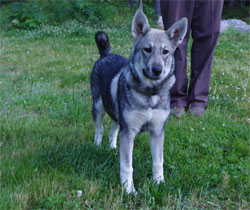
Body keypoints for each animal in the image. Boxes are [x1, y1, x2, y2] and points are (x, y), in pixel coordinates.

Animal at [91, 0, 187, 194]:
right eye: (147, 49)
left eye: (165, 51)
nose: (157, 70)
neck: (150, 94)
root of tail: (106, 54)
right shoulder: (129, 132)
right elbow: (127, 166)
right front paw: (128, 190)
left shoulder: (157, 131)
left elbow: (158, 161)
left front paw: (159, 184)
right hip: (98, 107)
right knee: (100, 130)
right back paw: (98, 147)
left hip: (118, 115)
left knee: (113, 129)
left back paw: (112, 147)